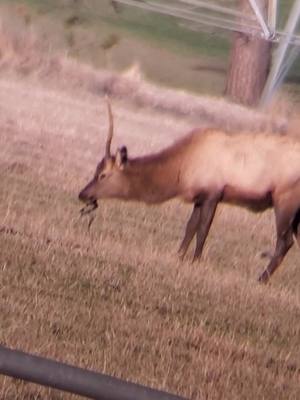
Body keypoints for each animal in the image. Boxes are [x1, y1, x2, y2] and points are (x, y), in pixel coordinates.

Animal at [78, 98, 300, 282]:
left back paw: (261, 278)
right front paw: (178, 256)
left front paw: (195, 261)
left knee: (285, 241)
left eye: (103, 174)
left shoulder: (213, 193)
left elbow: (202, 230)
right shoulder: (199, 198)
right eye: (96, 170)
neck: (182, 170)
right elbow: (190, 227)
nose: (82, 194)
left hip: (285, 200)